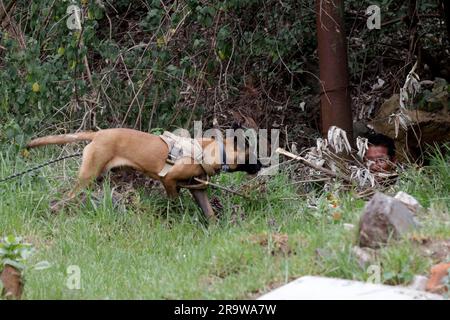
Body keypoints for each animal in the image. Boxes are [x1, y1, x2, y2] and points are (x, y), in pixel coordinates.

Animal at [26, 127, 262, 220]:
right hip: (88, 176)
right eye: (253, 156)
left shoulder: (198, 190)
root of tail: (99, 134)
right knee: (67, 197)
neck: (212, 152)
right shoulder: (170, 180)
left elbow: (210, 213)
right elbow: (175, 204)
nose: (261, 167)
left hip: (98, 177)